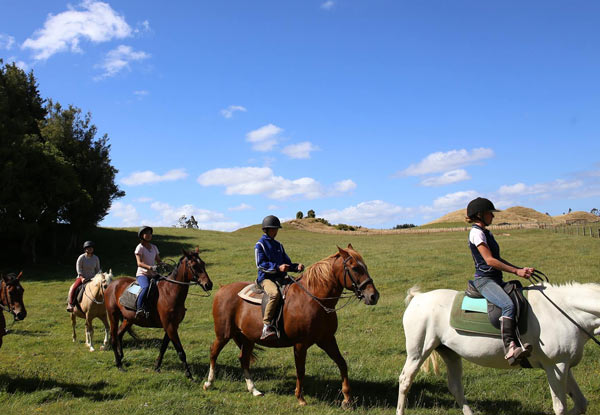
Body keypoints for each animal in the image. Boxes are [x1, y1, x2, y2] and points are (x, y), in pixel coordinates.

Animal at [104, 250, 212, 380]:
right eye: (195, 266)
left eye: (203, 264)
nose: (208, 285)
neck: (170, 292)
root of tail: (112, 284)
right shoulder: (170, 326)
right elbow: (180, 351)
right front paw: (189, 375)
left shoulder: (172, 326)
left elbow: (163, 348)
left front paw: (157, 367)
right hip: (113, 316)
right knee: (114, 338)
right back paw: (119, 365)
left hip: (129, 319)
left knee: (119, 334)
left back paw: (120, 357)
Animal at [204, 245, 378, 408]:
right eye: (355, 268)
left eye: (365, 266)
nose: (373, 296)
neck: (314, 300)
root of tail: (222, 288)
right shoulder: (300, 344)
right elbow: (300, 370)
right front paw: (300, 398)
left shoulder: (327, 339)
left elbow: (342, 363)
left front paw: (347, 398)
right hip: (223, 334)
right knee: (213, 353)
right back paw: (209, 383)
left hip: (247, 338)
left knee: (243, 359)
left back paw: (254, 390)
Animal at [396, 282, 600, 415]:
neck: (565, 313)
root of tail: (419, 298)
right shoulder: (555, 367)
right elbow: (561, 408)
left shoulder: (564, 365)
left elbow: (581, 403)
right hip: (418, 352)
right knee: (405, 380)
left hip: (450, 353)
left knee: (455, 386)